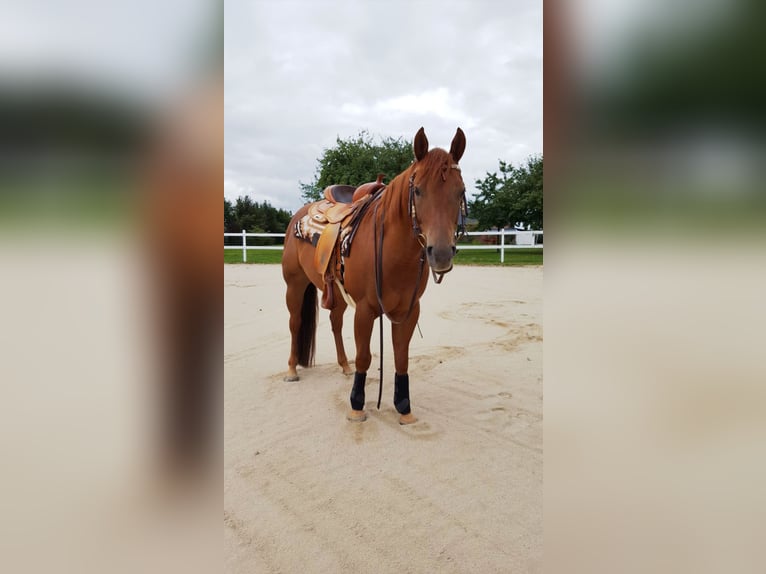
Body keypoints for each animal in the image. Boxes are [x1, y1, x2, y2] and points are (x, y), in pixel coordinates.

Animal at [280, 128, 464, 426]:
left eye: (461, 191)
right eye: (417, 190)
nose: (441, 253)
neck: (393, 251)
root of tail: (298, 215)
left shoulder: (409, 310)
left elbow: (401, 357)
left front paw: (404, 408)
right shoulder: (365, 309)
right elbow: (365, 357)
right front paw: (357, 406)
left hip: (335, 293)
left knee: (334, 323)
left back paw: (344, 366)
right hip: (294, 284)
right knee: (295, 323)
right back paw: (292, 370)